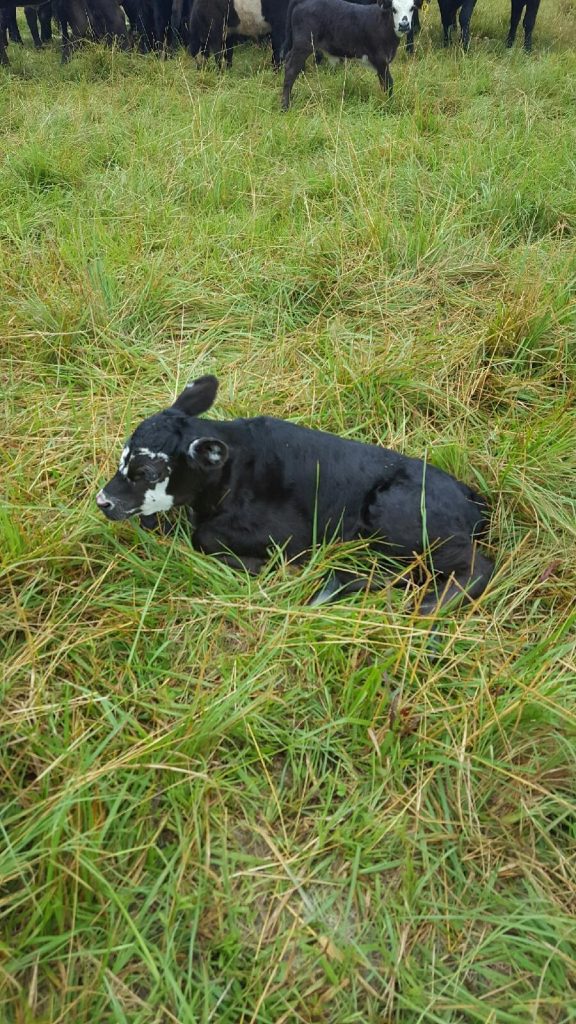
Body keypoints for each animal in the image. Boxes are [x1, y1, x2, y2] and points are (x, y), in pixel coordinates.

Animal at [96, 376, 491, 614]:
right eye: (122, 460)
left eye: (147, 472)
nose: (103, 501)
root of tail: (469, 496)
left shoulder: (291, 535)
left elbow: (202, 536)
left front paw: (260, 565)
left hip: (404, 517)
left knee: (477, 567)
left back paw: (419, 606)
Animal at [280, 0, 420, 110]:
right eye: (394, 9)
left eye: (412, 8)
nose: (404, 25)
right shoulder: (380, 59)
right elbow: (388, 83)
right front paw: (389, 105)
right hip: (303, 45)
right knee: (291, 70)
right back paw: (285, 106)